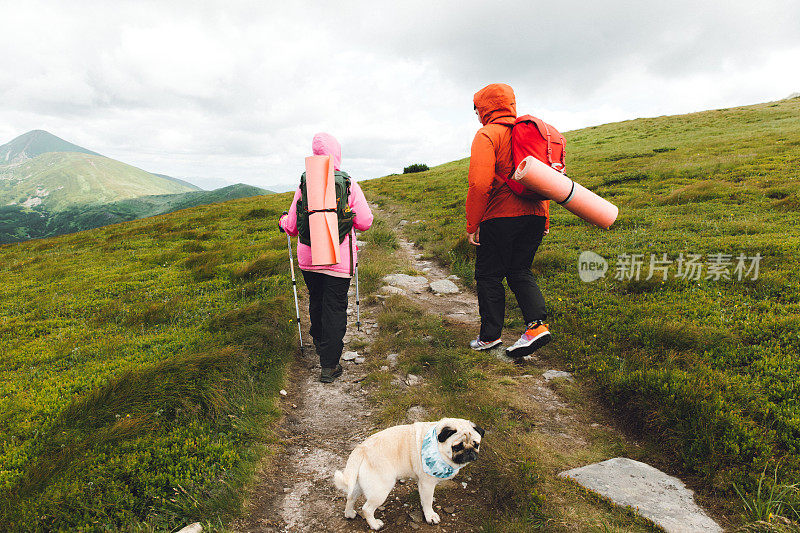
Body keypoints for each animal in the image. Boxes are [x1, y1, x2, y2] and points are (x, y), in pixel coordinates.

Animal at [332, 418, 482, 528]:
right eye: (457, 446)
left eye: (476, 444)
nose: (470, 451)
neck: (437, 446)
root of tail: (361, 449)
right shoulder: (427, 484)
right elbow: (427, 502)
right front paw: (430, 516)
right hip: (380, 490)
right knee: (367, 509)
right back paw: (375, 525)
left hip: (358, 484)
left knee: (350, 498)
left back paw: (349, 514)